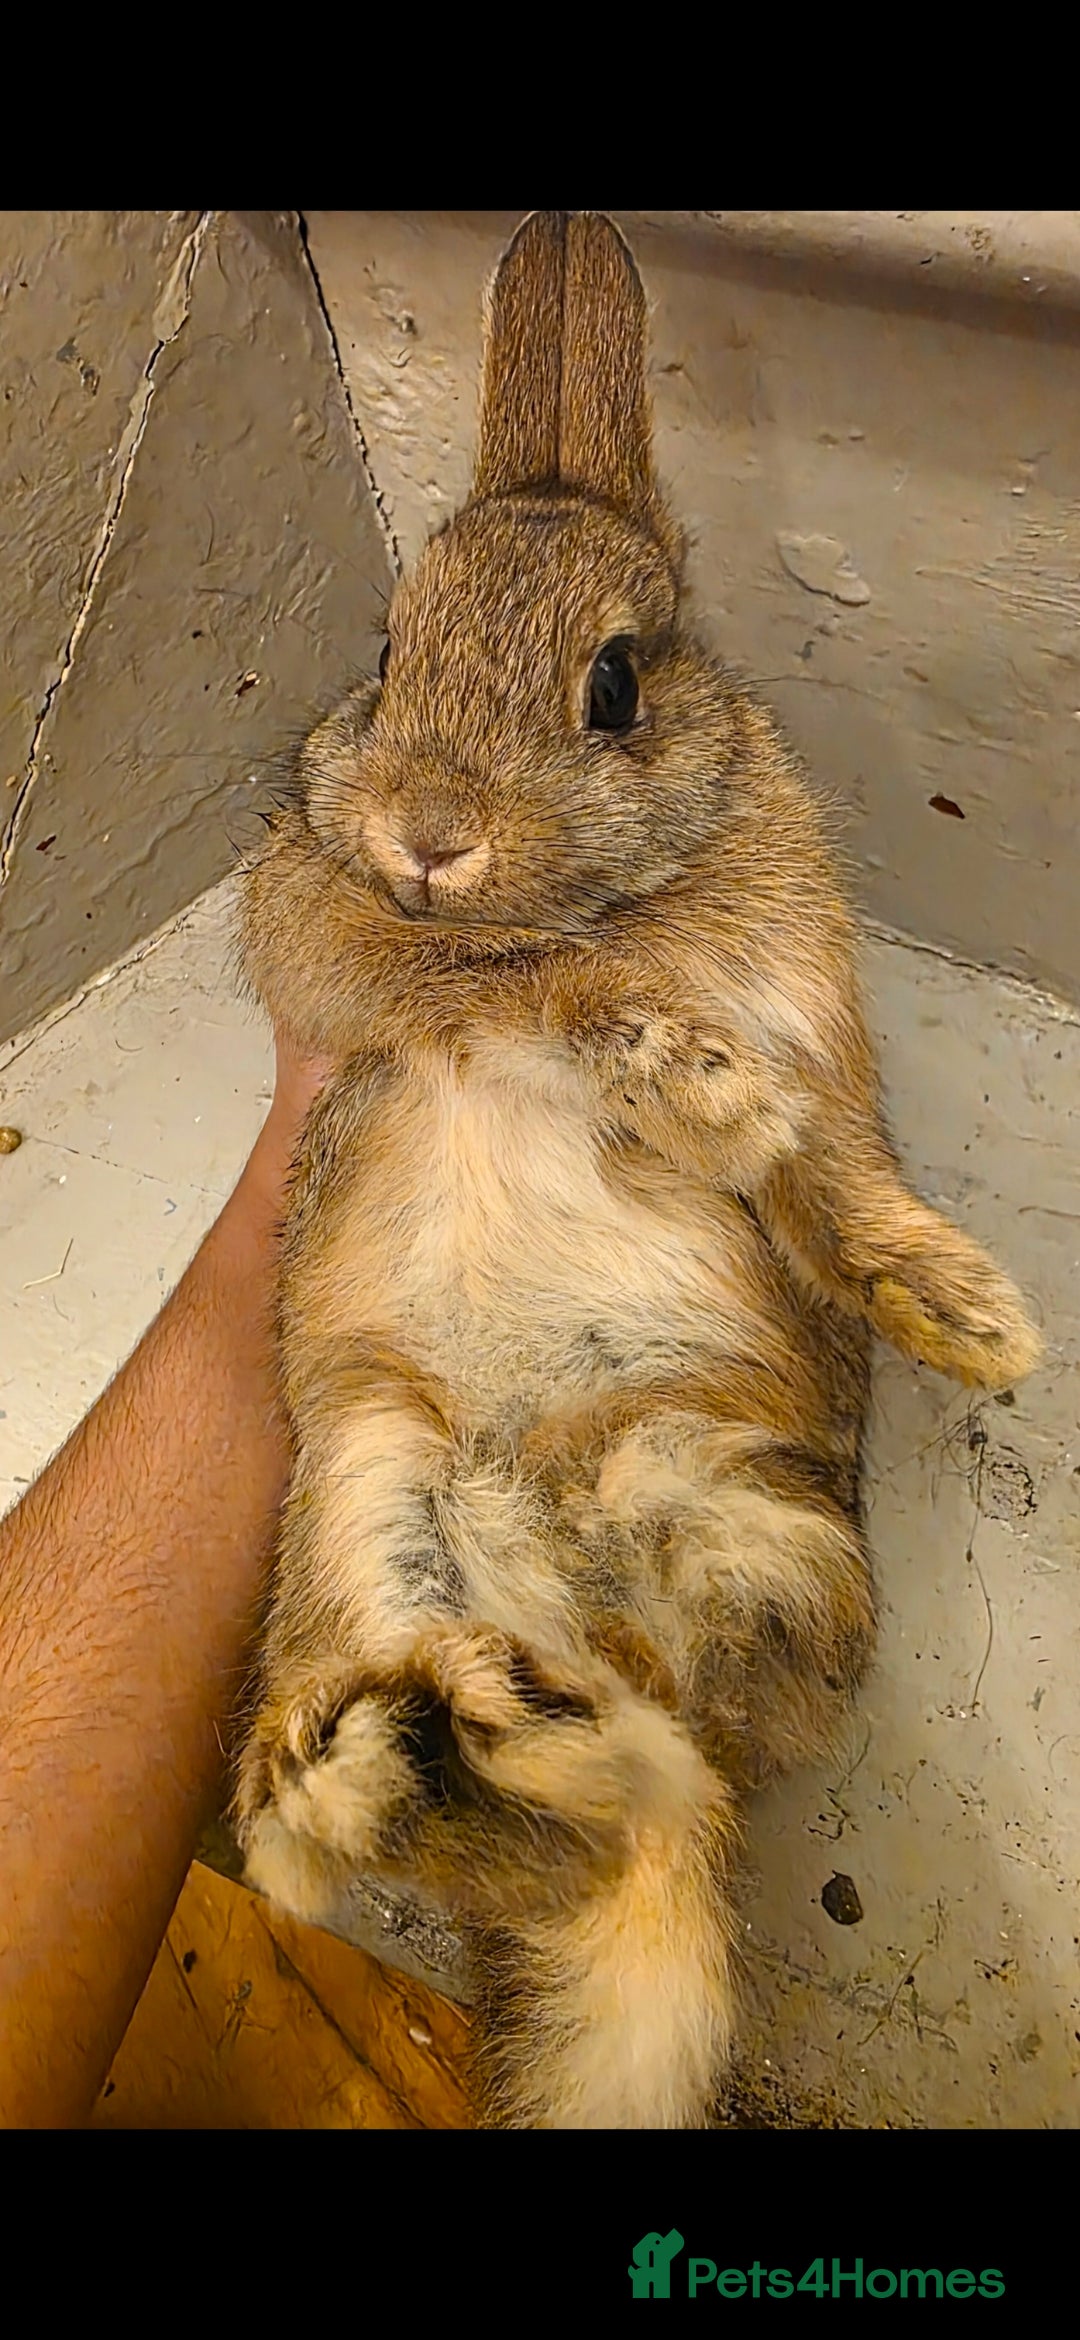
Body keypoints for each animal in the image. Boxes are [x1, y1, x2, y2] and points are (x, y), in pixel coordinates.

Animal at [232, 210, 1041, 2130]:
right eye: (386, 652)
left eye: (611, 684)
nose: (426, 833)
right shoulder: (335, 942)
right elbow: (510, 989)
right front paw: (667, 1059)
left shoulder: (808, 1021)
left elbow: (828, 1173)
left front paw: (961, 1313)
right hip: (368, 1497)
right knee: (542, 1802)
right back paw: (408, 1767)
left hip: (745, 1503)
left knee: (694, 1732)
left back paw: (502, 1739)